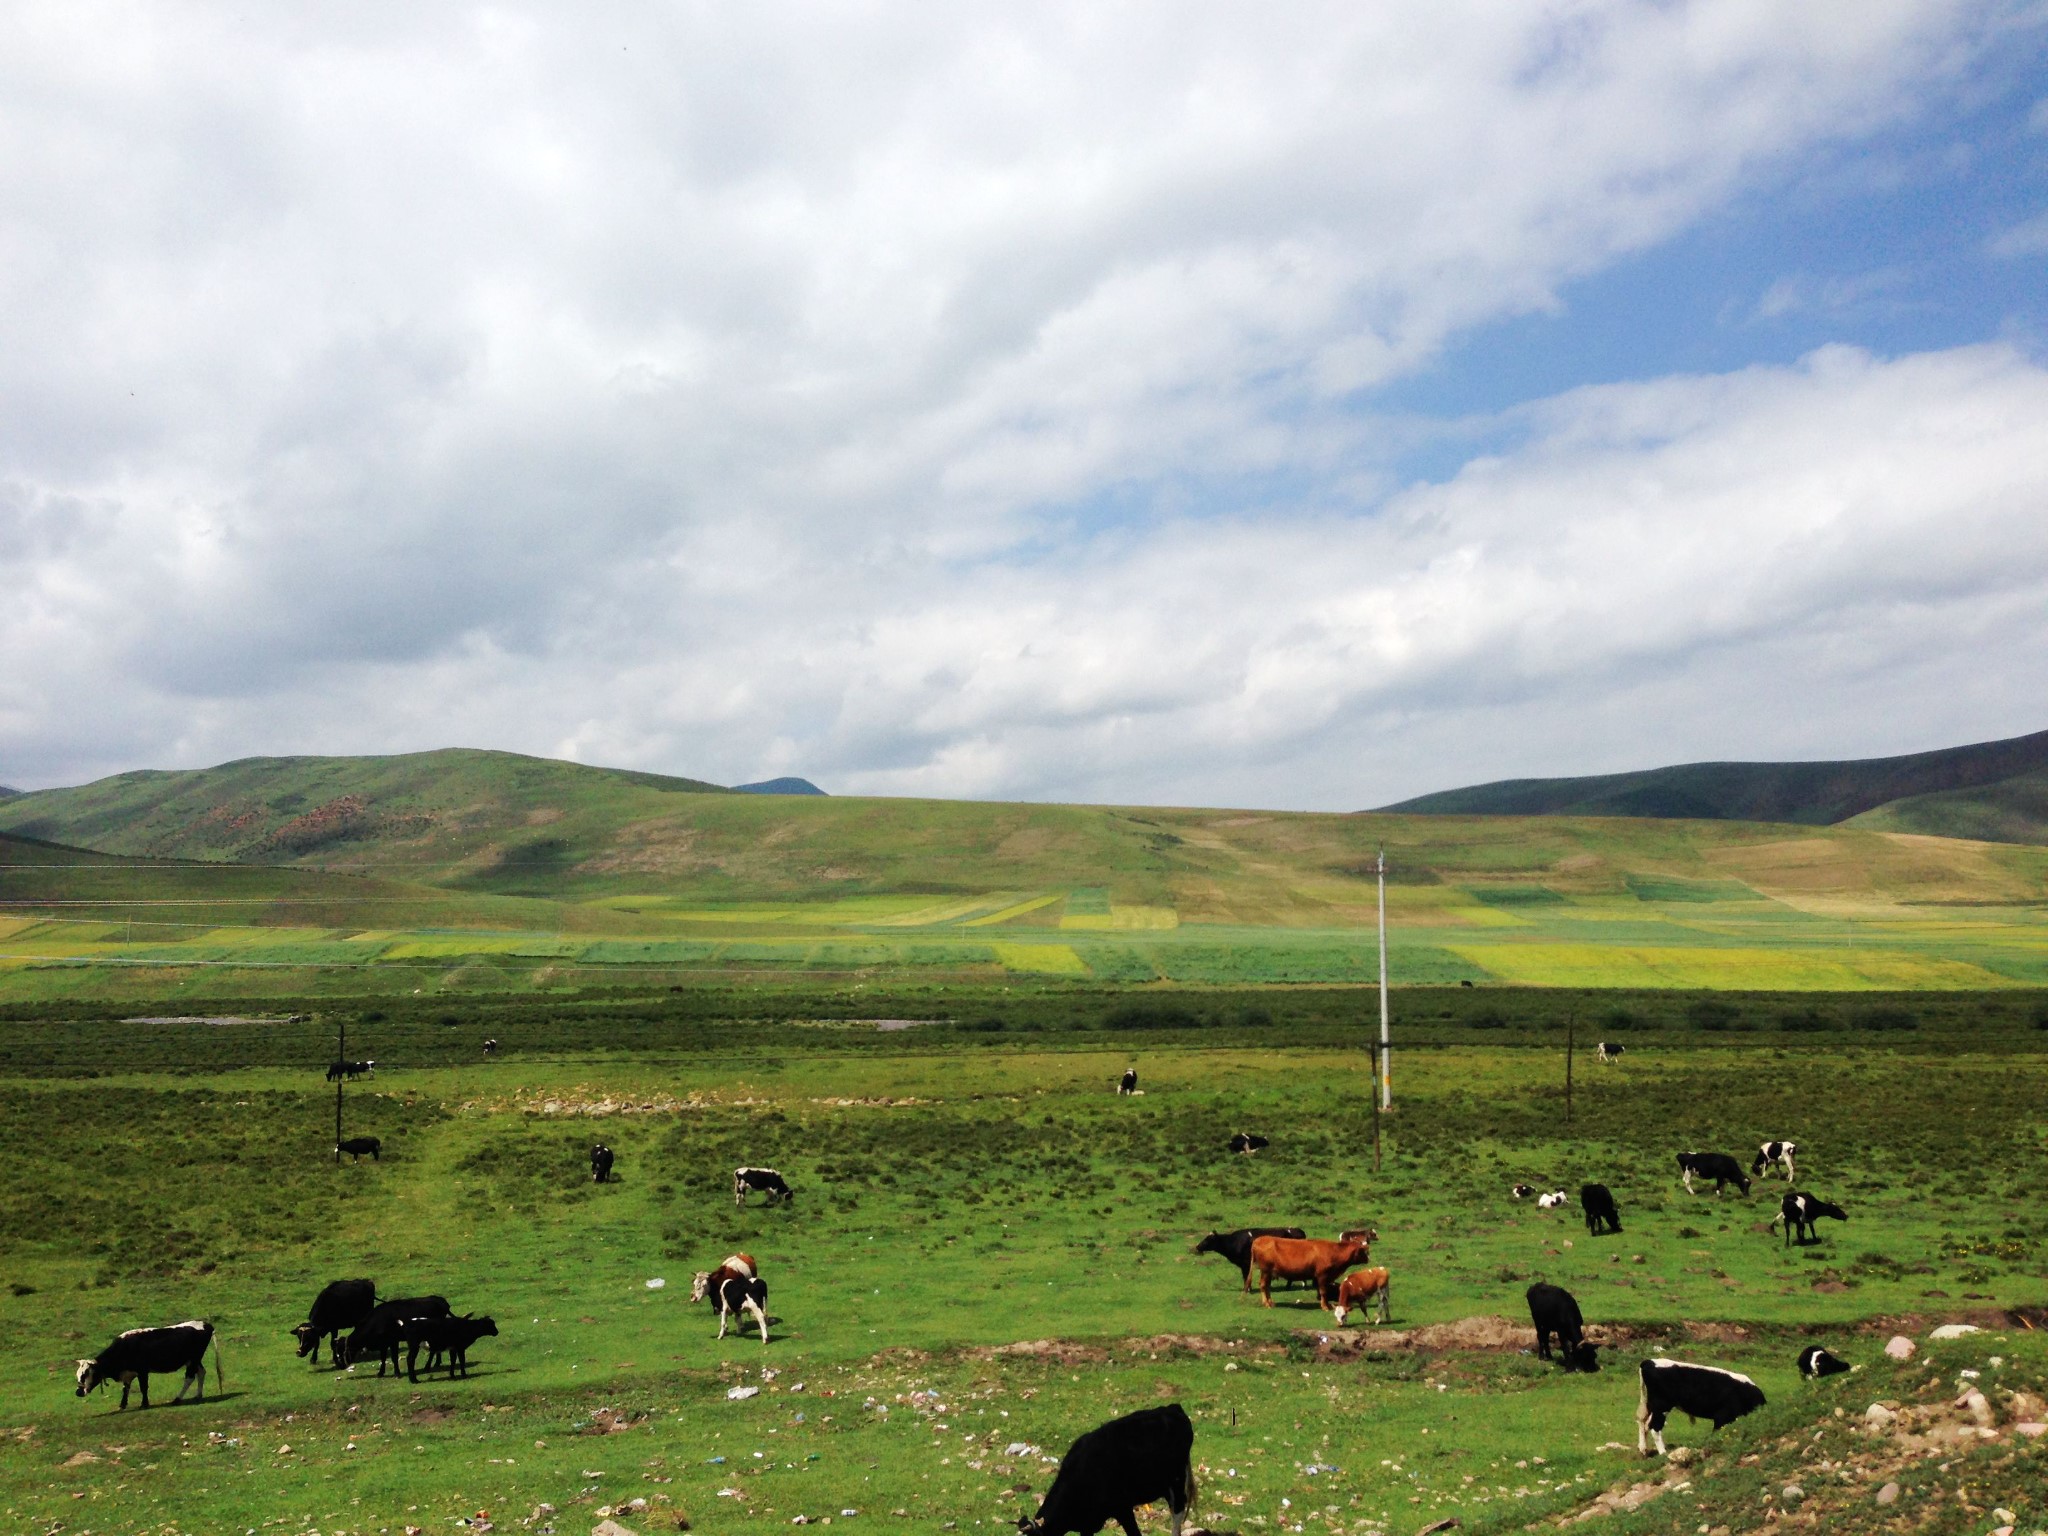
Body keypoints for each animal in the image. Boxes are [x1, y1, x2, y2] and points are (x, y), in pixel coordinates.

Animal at [75, 1327, 218, 1417]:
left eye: (86, 1373)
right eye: (77, 1374)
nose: (78, 1392)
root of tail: (206, 1324)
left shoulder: (142, 1371)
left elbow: (143, 1388)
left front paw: (144, 1404)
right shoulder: (128, 1374)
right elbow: (125, 1389)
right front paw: (122, 1405)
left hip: (193, 1359)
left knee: (189, 1378)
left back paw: (177, 1399)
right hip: (194, 1360)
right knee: (201, 1373)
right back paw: (198, 1395)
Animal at [1245, 1228, 1376, 1310]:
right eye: (1362, 1251)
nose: (1368, 1259)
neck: (1334, 1252)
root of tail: (1259, 1240)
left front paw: (1327, 1304)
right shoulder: (1322, 1275)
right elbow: (1323, 1291)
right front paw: (1325, 1306)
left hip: (1268, 1272)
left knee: (1266, 1286)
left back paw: (1271, 1302)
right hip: (1265, 1271)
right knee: (1263, 1285)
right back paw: (1266, 1303)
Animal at [1638, 1368, 1769, 1458]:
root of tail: (1648, 1362)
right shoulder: (1722, 1416)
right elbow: (1716, 1432)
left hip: (1651, 1406)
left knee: (1643, 1423)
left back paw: (1644, 1450)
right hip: (1662, 1406)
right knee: (1654, 1427)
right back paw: (1663, 1453)